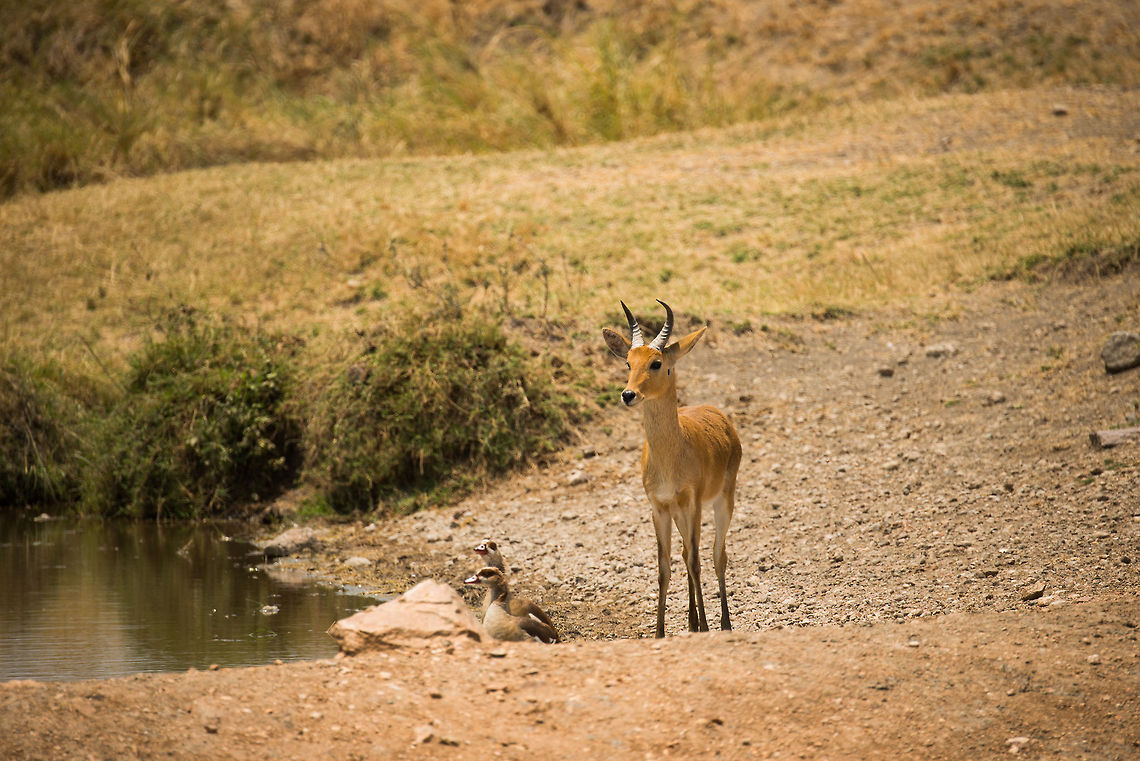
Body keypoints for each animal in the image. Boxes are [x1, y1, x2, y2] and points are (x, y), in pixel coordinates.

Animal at [602, 300, 742, 637]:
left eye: (656, 363)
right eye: (628, 363)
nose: (628, 395)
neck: (671, 454)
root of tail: (720, 416)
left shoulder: (692, 503)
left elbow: (696, 561)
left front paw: (705, 626)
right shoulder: (659, 507)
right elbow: (664, 566)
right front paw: (660, 632)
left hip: (722, 501)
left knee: (717, 555)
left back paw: (723, 623)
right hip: (680, 512)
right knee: (684, 553)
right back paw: (692, 622)